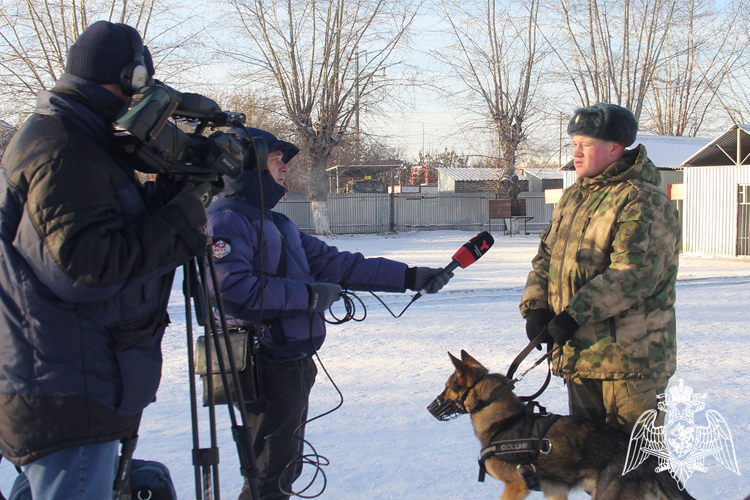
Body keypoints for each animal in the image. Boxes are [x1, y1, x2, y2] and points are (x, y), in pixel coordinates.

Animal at [434, 352, 700, 500]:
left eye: (447, 387)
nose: (429, 408)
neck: (504, 420)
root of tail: (649, 457)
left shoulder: (516, 487)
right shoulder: (555, 490)